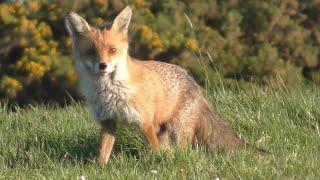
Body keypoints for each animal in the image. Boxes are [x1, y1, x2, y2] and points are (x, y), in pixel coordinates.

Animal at [64, 5, 262, 165]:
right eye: (91, 52)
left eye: (112, 50)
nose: (103, 65)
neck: (110, 93)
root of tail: (195, 84)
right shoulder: (108, 122)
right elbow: (103, 154)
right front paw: (101, 168)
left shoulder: (145, 123)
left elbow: (155, 151)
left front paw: (158, 165)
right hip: (163, 130)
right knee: (170, 151)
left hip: (178, 130)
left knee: (182, 151)